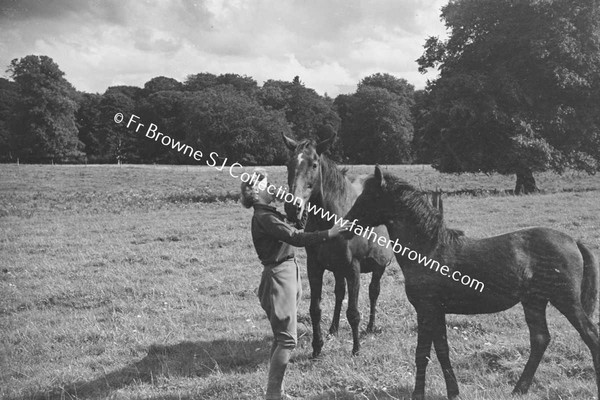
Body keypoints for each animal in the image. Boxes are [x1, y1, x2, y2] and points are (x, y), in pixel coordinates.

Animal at [282, 134, 394, 356]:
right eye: (288, 164)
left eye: (314, 164)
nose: (292, 207)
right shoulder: (315, 267)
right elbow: (315, 309)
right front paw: (317, 348)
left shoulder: (353, 268)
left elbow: (353, 312)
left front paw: (356, 349)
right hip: (338, 269)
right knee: (340, 292)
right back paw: (333, 328)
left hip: (378, 267)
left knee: (373, 291)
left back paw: (370, 327)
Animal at [342, 165, 600, 396]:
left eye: (369, 197)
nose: (345, 226)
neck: (429, 248)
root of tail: (573, 241)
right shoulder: (436, 311)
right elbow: (441, 350)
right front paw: (452, 391)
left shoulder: (426, 309)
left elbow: (423, 352)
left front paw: (421, 393)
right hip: (534, 302)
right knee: (540, 339)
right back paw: (519, 389)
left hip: (566, 301)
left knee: (590, 336)